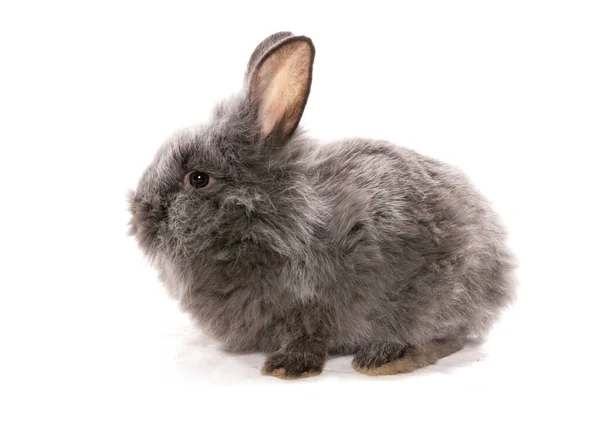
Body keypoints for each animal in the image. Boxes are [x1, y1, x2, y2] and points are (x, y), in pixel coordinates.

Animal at [130, 31, 516, 380]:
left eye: (198, 179)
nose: (140, 213)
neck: (266, 217)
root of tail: (499, 269)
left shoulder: (310, 299)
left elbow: (307, 335)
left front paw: (287, 367)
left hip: (435, 294)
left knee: (446, 336)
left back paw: (383, 358)